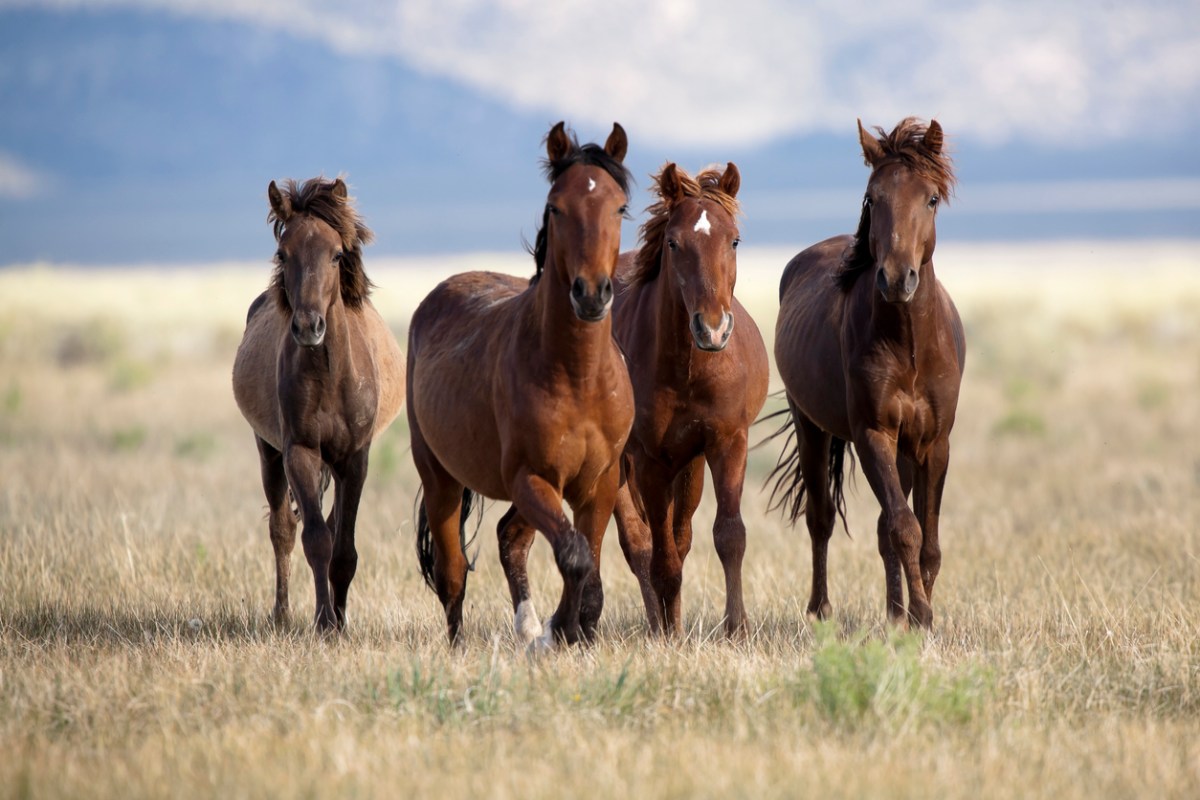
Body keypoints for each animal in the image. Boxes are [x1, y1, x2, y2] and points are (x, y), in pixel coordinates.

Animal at [232, 176, 405, 632]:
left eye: (337, 254)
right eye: (283, 253)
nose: (309, 326)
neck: (329, 375)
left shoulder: (354, 459)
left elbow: (343, 548)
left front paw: (339, 620)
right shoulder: (301, 452)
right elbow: (315, 541)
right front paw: (325, 623)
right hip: (268, 452)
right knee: (283, 530)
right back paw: (282, 614)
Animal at [407, 122, 635, 647]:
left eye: (619, 207)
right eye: (556, 207)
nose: (591, 294)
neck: (578, 378)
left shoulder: (599, 482)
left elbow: (588, 563)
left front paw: (572, 630)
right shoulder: (532, 477)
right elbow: (575, 556)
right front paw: (560, 630)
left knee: (510, 539)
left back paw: (529, 629)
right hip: (440, 478)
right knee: (453, 572)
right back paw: (465, 645)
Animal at [610, 162, 769, 638]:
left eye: (733, 239)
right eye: (673, 242)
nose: (713, 329)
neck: (688, 368)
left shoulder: (726, 443)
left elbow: (728, 536)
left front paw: (737, 628)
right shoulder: (648, 461)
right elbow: (659, 557)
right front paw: (668, 636)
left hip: (690, 465)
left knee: (679, 539)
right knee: (641, 544)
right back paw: (659, 626)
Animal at [771, 118, 965, 629]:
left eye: (931, 198)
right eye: (872, 198)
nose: (897, 279)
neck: (910, 346)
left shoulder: (933, 443)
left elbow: (927, 541)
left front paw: (917, 613)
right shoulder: (873, 433)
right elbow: (905, 528)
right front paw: (922, 616)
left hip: (904, 449)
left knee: (880, 529)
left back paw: (893, 612)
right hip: (811, 427)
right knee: (821, 519)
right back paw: (821, 609)